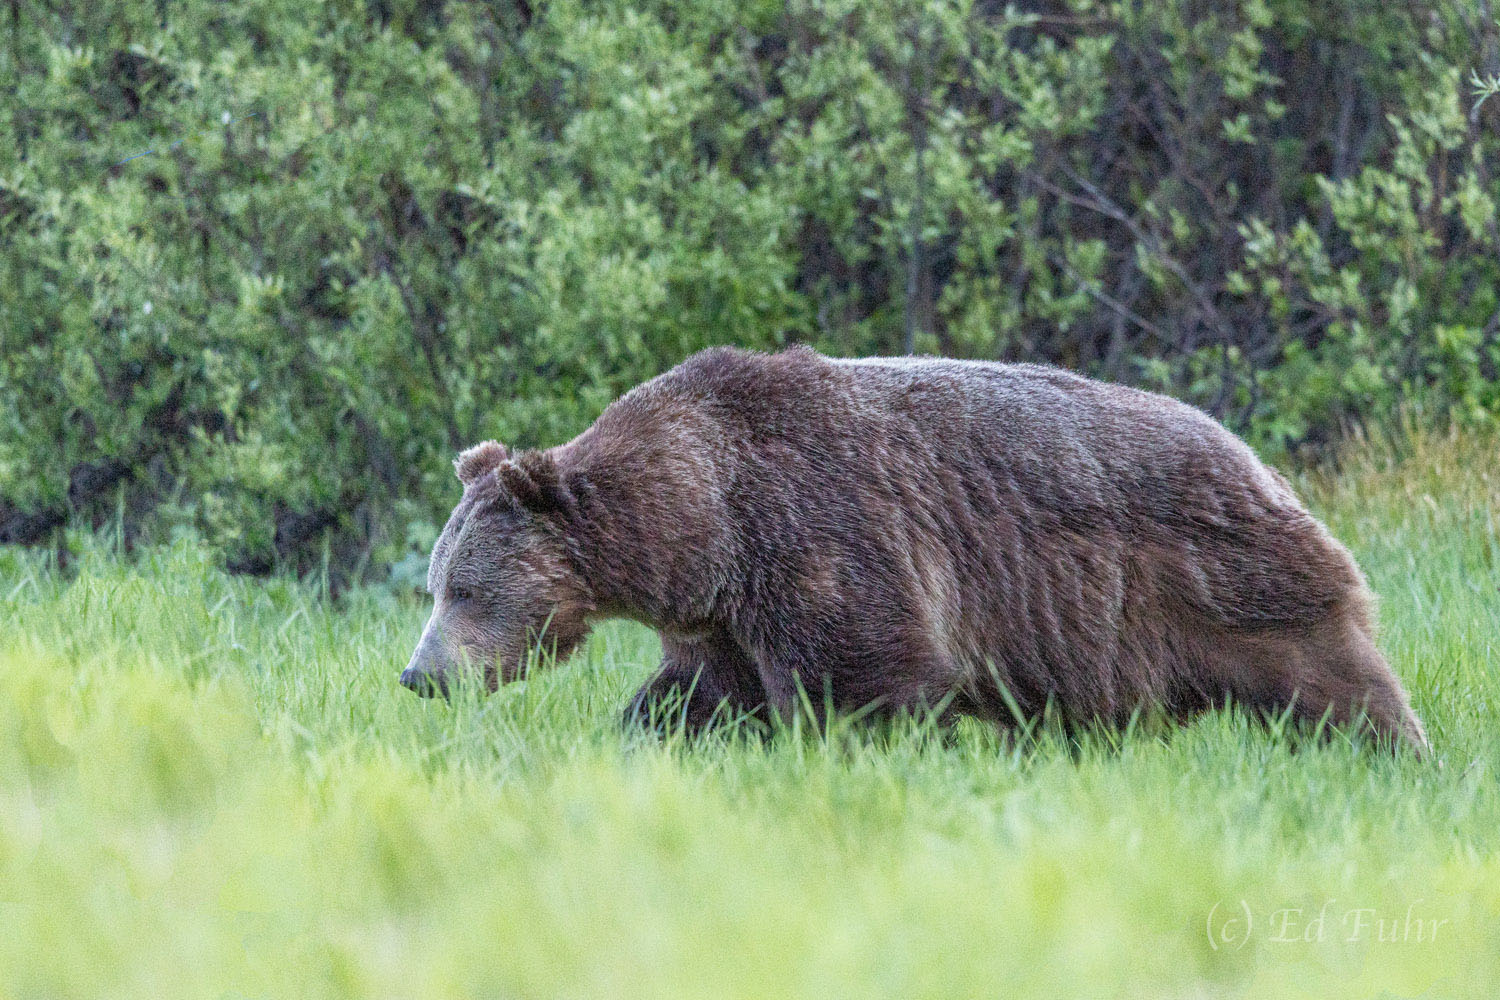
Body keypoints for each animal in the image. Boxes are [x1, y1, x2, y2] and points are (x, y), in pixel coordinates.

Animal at [402, 347, 1428, 755]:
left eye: (463, 589)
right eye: (437, 584)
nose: (419, 676)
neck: (703, 519)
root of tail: (1261, 461)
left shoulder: (819, 535)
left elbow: (865, 675)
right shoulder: (724, 611)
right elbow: (699, 697)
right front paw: (646, 738)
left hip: (1224, 579)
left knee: (1334, 680)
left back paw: (1394, 752)